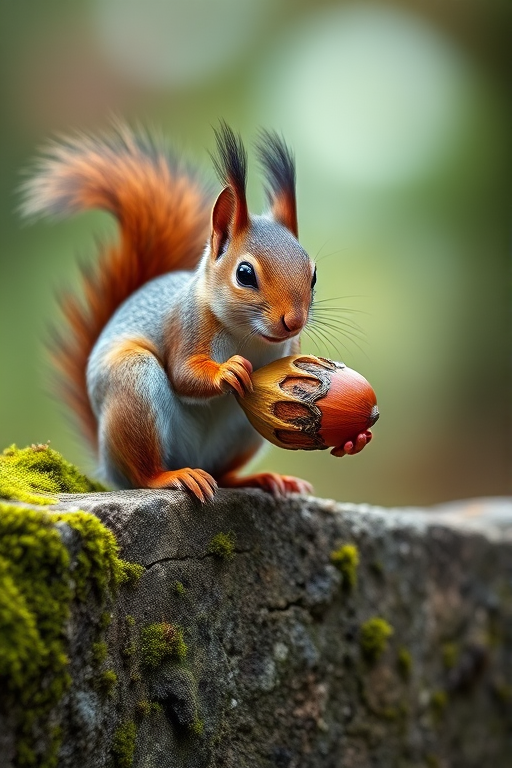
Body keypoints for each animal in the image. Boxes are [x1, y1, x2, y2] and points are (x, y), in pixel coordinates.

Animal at [23, 122, 372, 502]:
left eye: (314, 275)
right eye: (245, 274)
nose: (294, 322)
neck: (248, 335)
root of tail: (106, 463)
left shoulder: (288, 351)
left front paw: (355, 440)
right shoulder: (188, 325)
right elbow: (183, 373)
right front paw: (226, 371)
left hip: (242, 432)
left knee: (225, 471)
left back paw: (261, 479)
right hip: (133, 385)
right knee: (142, 471)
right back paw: (172, 476)